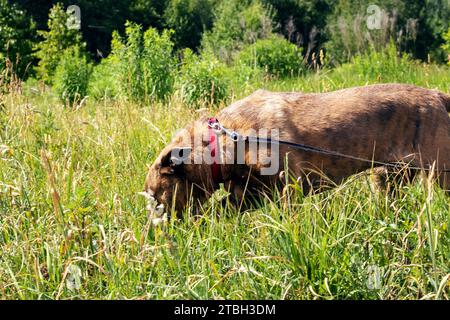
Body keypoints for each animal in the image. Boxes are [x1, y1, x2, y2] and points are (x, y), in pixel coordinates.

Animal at [143, 84, 450, 216]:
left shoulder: (290, 186)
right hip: (390, 176)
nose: (154, 231)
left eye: (156, 197)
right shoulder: (250, 193)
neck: (227, 140)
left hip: (439, 172)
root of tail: (439, 95)